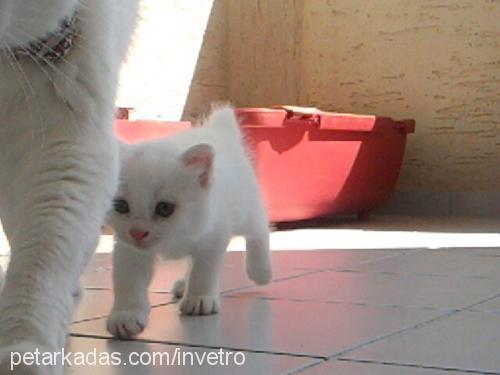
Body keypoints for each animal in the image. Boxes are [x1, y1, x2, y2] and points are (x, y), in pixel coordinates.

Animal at [103, 107, 272, 340]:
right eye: (120, 205)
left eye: (165, 208)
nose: (138, 232)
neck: (178, 237)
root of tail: (219, 129)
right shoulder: (129, 248)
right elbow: (128, 278)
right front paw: (125, 315)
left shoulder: (214, 235)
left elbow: (204, 270)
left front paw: (199, 298)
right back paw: (183, 285)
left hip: (246, 209)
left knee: (260, 230)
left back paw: (261, 271)